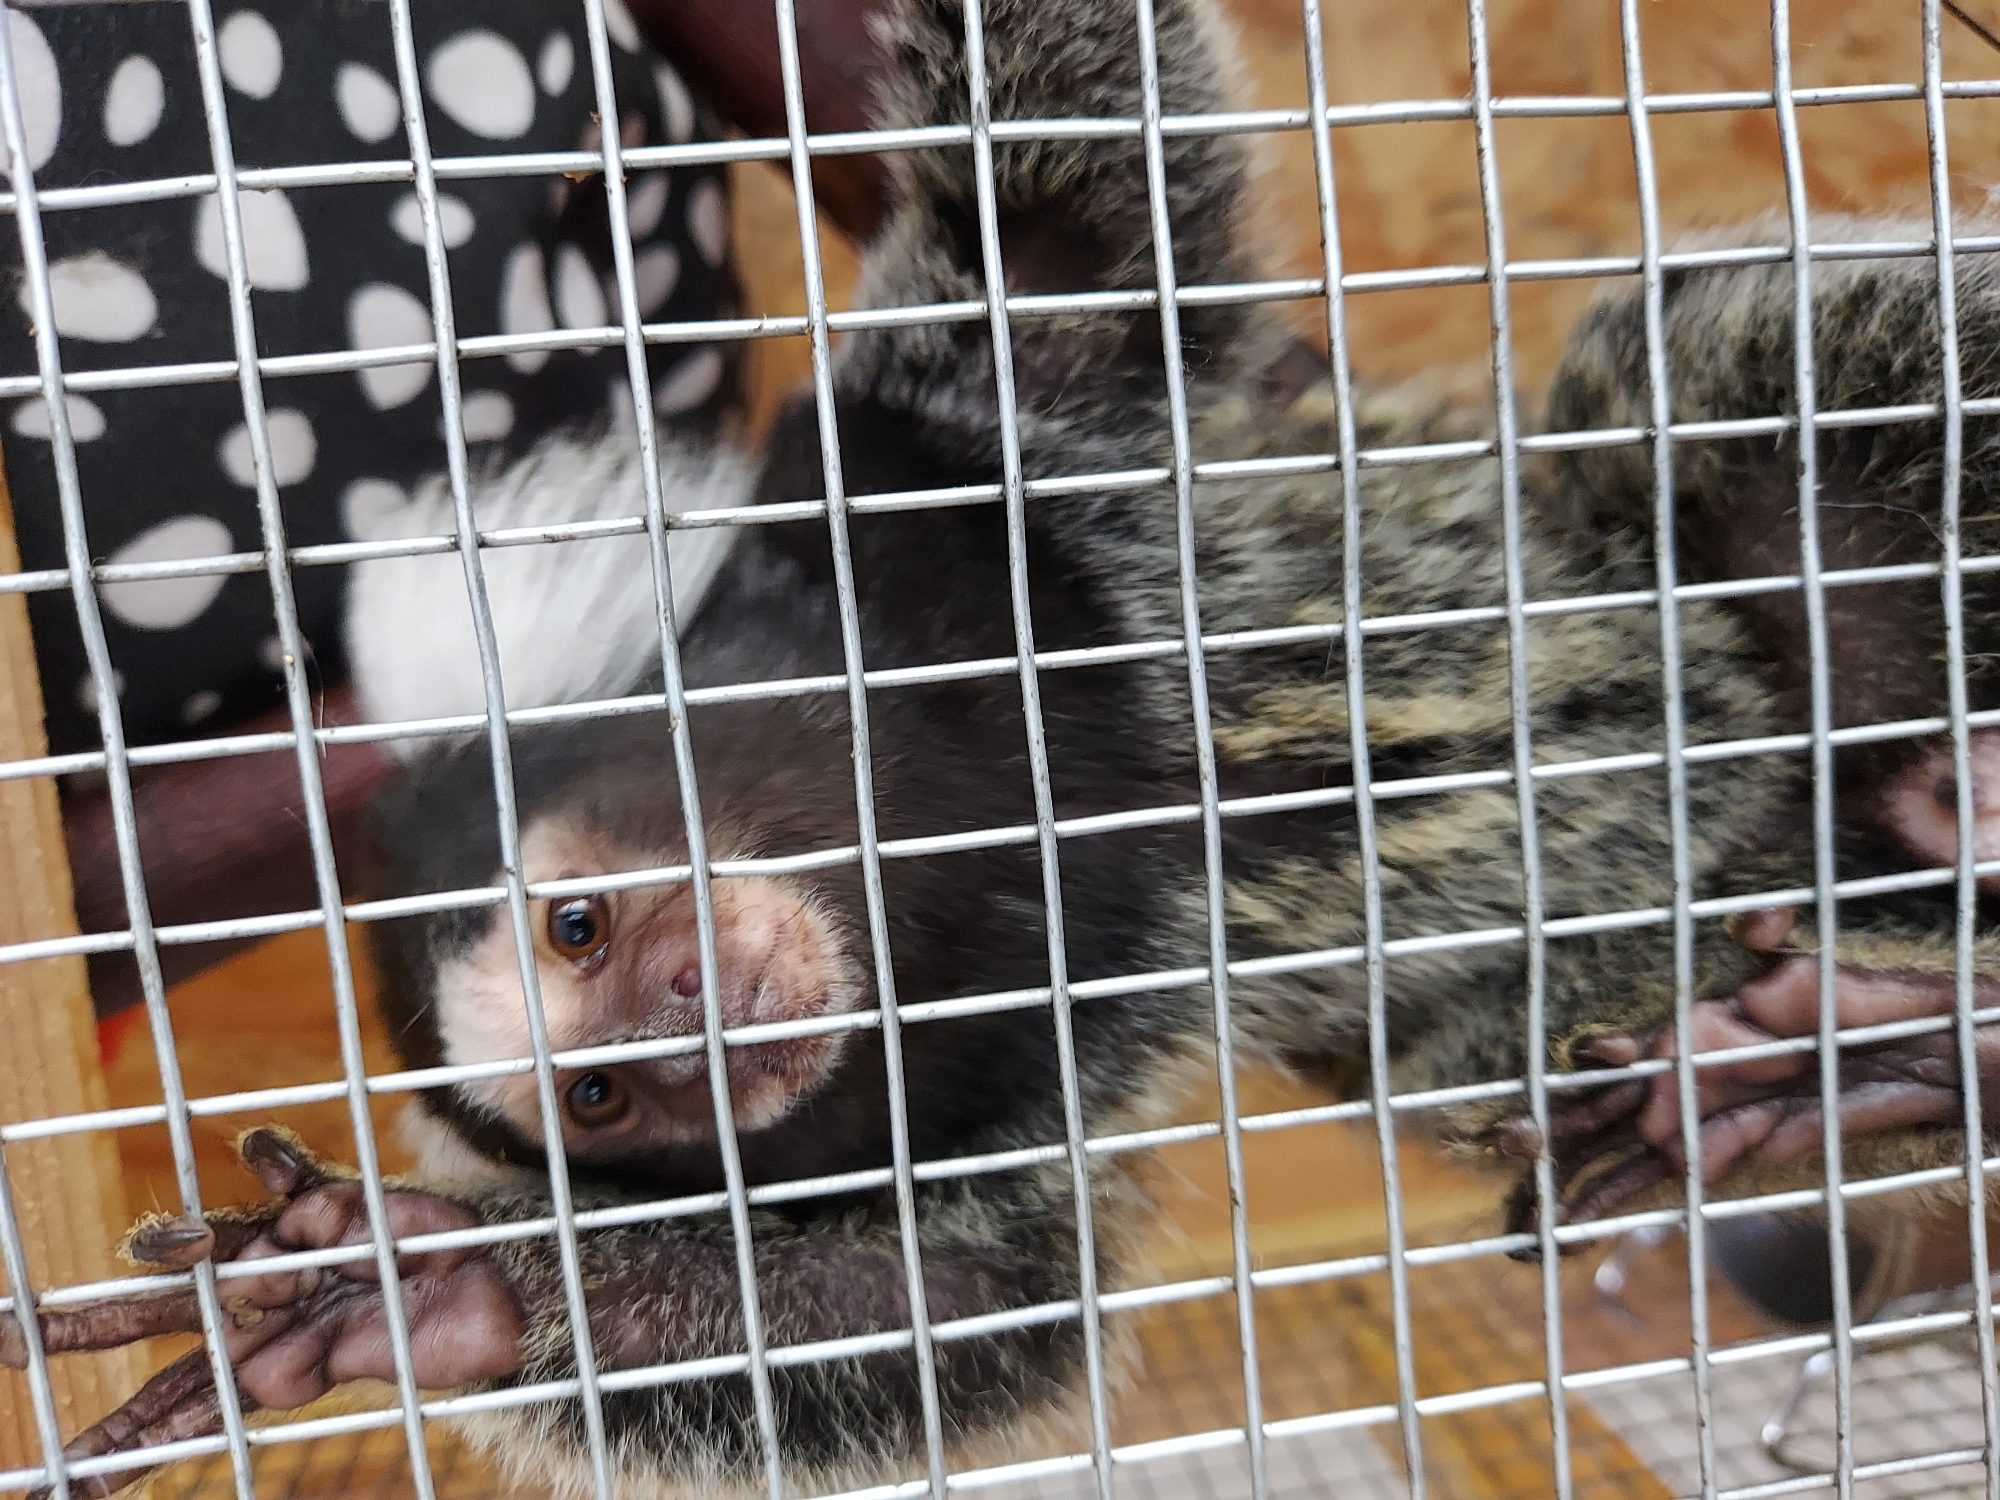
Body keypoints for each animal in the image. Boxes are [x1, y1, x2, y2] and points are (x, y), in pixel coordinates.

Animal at [14, 0, 2000, 1495]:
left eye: (584, 926)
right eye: (600, 1103)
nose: (691, 1023)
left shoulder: (957, 464)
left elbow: (1068, 220)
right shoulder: (1003, 1084)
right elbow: (965, 1292)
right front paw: (418, 1297)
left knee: (1773, 372)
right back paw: (1846, 1068)